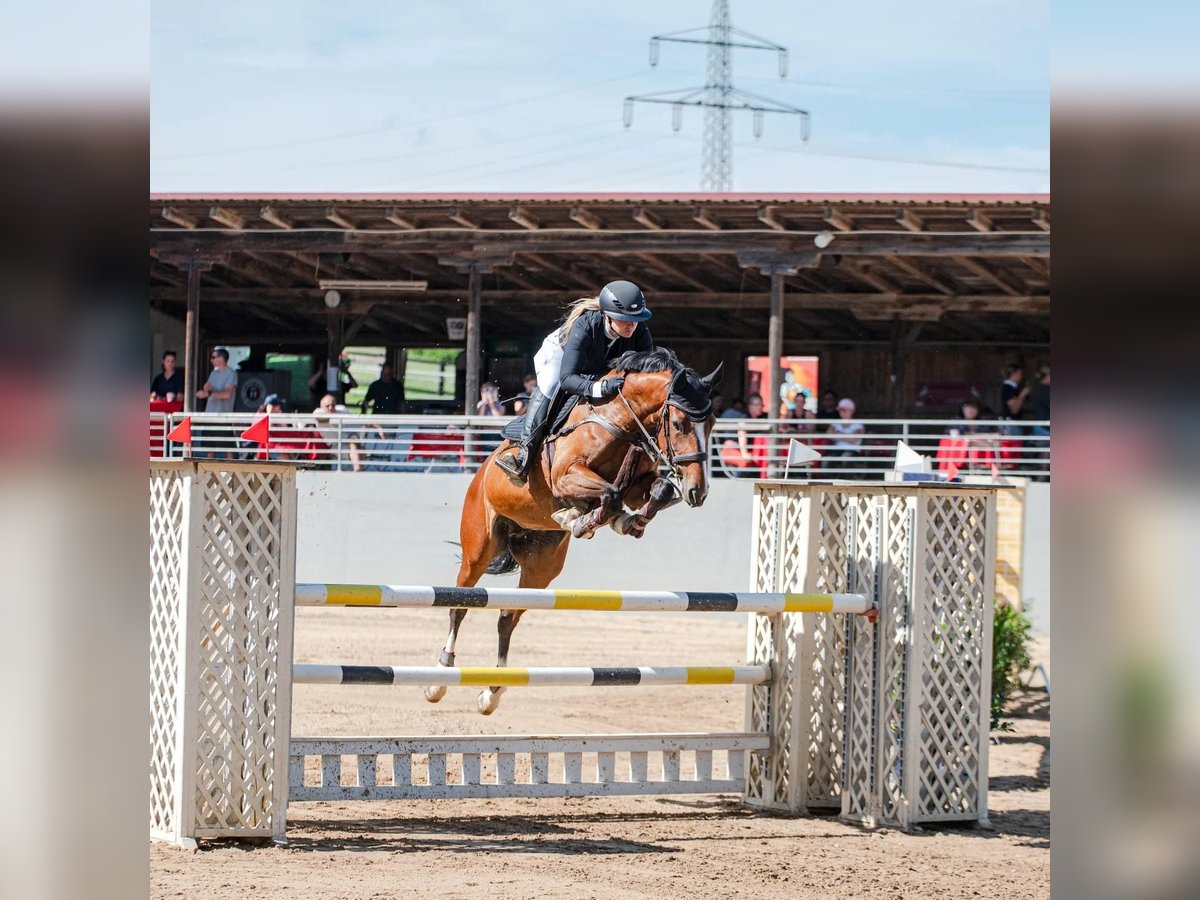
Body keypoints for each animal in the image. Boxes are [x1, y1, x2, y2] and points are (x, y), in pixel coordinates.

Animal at [424, 348, 715, 715]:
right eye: (678, 424)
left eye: (712, 424)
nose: (698, 492)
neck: (620, 419)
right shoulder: (566, 475)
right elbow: (610, 493)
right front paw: (584, 519)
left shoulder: (639, 484)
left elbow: (655, 490)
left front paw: (618, 521)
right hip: (478, 548)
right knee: (459, 606)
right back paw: (439, 678)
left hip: (540, 570)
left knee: (507, 616)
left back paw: (492, 691)